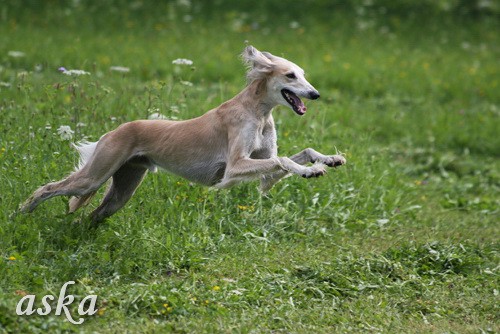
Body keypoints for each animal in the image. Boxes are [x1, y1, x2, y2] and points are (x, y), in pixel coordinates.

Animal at [21, 45, 346, 223]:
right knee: (47, 188)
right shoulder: (234, 168)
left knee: (92, 216)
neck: (258, 112)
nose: (315, 94)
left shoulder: (265, 178)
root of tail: (115, 130)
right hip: (95, 175)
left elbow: (298, 154)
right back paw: (21, 215)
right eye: (290, 75)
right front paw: (311, 170)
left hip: (123, 187)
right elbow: (283, 161)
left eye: (303, 75)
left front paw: (327, 159)